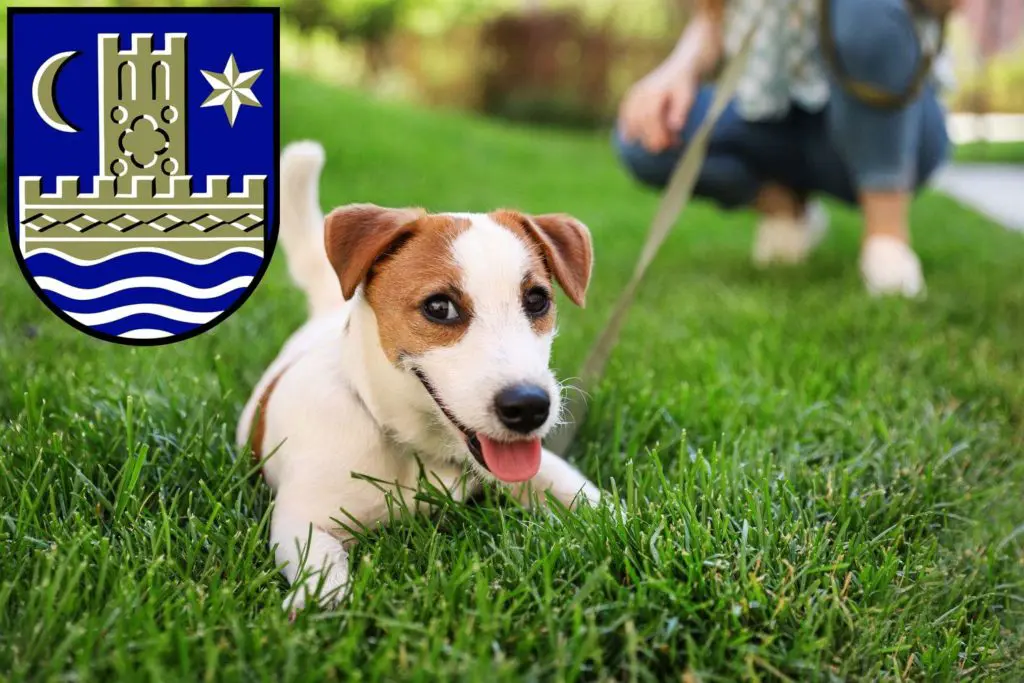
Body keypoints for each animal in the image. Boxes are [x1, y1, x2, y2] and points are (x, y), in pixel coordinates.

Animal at [235, 141, 602, 610]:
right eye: (439, 307)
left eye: (537, 300)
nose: (529, 408)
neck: (412, 445)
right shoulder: (303, 519)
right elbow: (322, 569)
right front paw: (318, 605)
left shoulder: (538, 466)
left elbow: (583, 493)